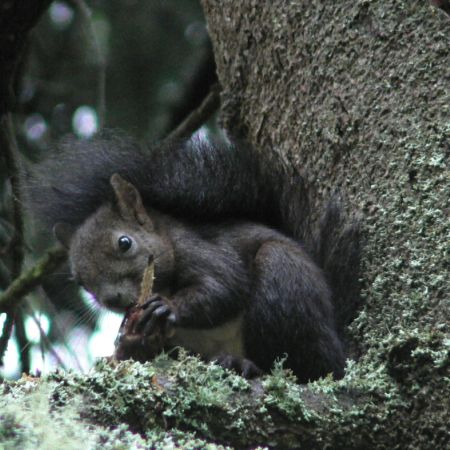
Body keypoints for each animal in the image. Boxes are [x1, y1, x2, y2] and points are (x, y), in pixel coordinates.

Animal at [28, 130, 360, 384]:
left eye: (125, 243)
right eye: (80, 281)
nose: (112, 299)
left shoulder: (200, 249)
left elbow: (225, 286)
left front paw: (168, 308)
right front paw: (131, 341)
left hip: (284, 278)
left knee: (305, 367)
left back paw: (249, 366)